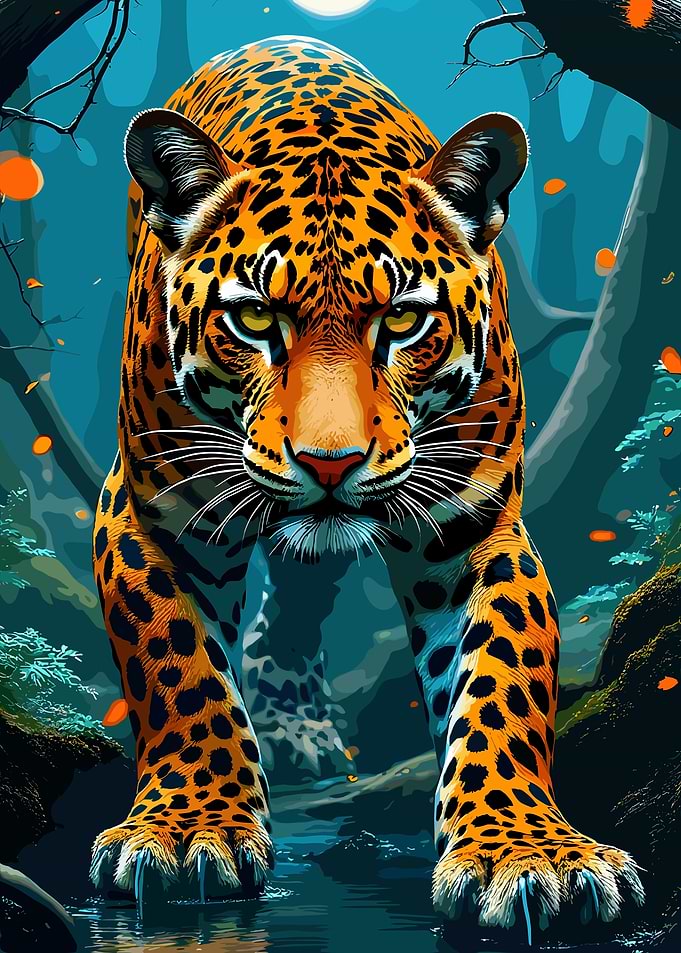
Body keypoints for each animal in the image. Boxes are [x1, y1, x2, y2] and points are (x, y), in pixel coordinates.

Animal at [90, 34, 644, 936]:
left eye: (403, 321)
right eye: (254, 318)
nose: (329, 462)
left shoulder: (476, 524)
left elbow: (503, 679)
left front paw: (528, 853)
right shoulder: (149, 510)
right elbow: (179, 667)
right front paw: (190, 829)